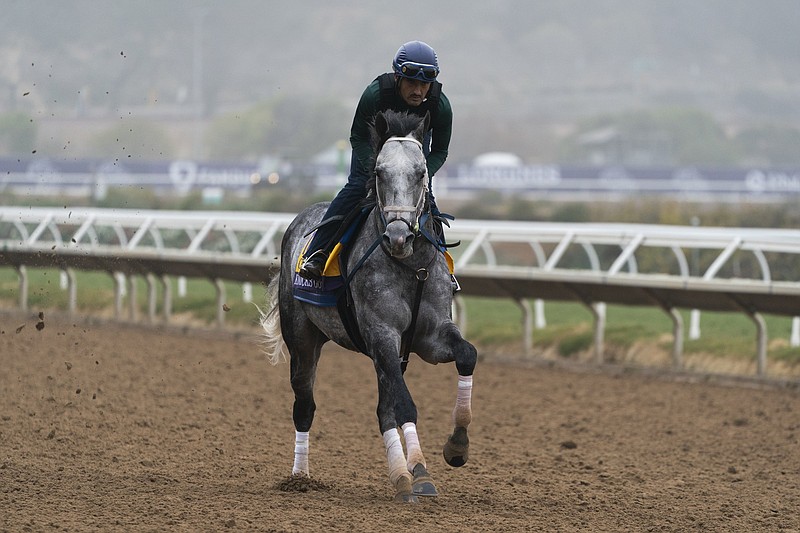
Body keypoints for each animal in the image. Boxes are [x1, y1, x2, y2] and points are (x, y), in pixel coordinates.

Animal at [260, 110, 476, 500]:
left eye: (421, 172)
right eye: (378, 172)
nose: (398, 236)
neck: (412, 267)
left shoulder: (430, 338)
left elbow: (466, 354)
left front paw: (456, 447)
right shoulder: (382, 333)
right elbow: (405, 404)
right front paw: (420, 471)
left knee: (382, 409)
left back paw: (398, 474)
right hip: (303, 340)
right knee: (305, 406)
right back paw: (300, 478)